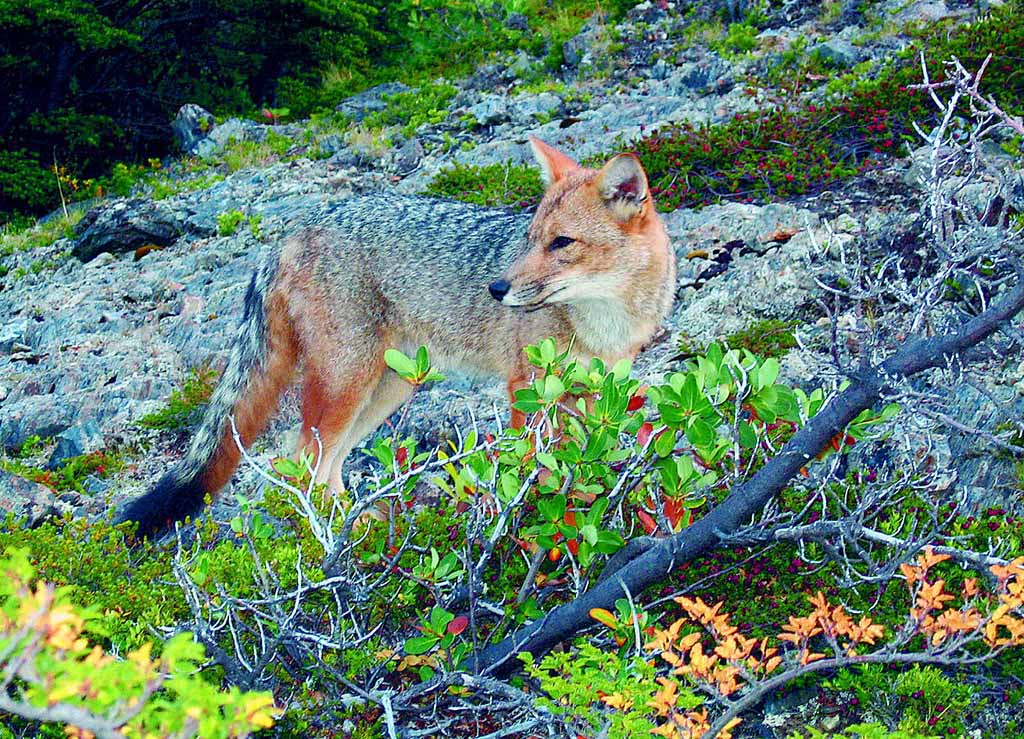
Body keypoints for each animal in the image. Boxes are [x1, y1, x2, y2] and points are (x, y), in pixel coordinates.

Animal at [119, 135, 675, 532]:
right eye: (529, 238)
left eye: (561, 243)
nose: (496, 288)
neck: (602, 322)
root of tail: (291, 232)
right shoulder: (527, 387)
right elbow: (529, 465)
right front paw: (534, 517)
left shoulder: (595, 389)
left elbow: (587, 461)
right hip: (347, 385)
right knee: (296, 463)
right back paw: (325, 539)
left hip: (387, 389)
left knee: (327, 467)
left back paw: (356, 524)